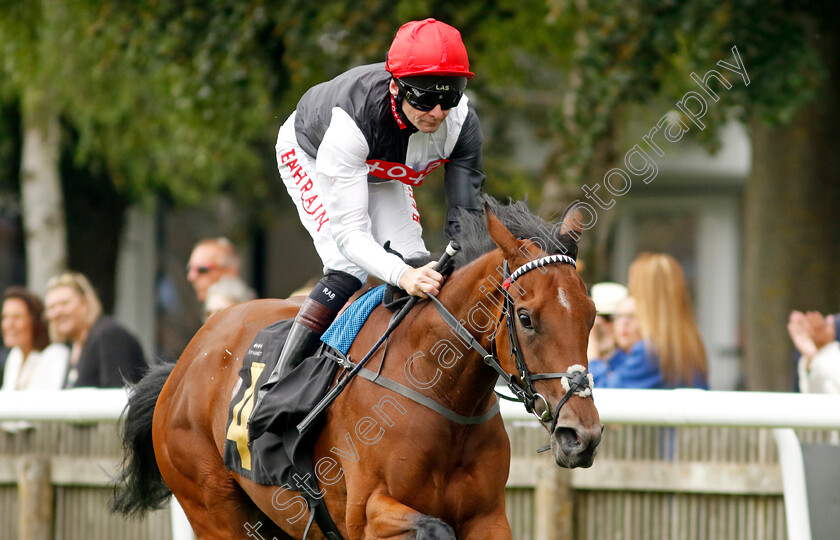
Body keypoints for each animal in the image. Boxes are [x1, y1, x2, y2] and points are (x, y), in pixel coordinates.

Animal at [111, 199, 600, 540]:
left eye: (591, 315)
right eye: (526, 318)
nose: (582, 436)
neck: (440, 393)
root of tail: (183, 363)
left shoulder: (488, 516)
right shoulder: (365, 513)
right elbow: (432, 526)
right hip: (212, 507)